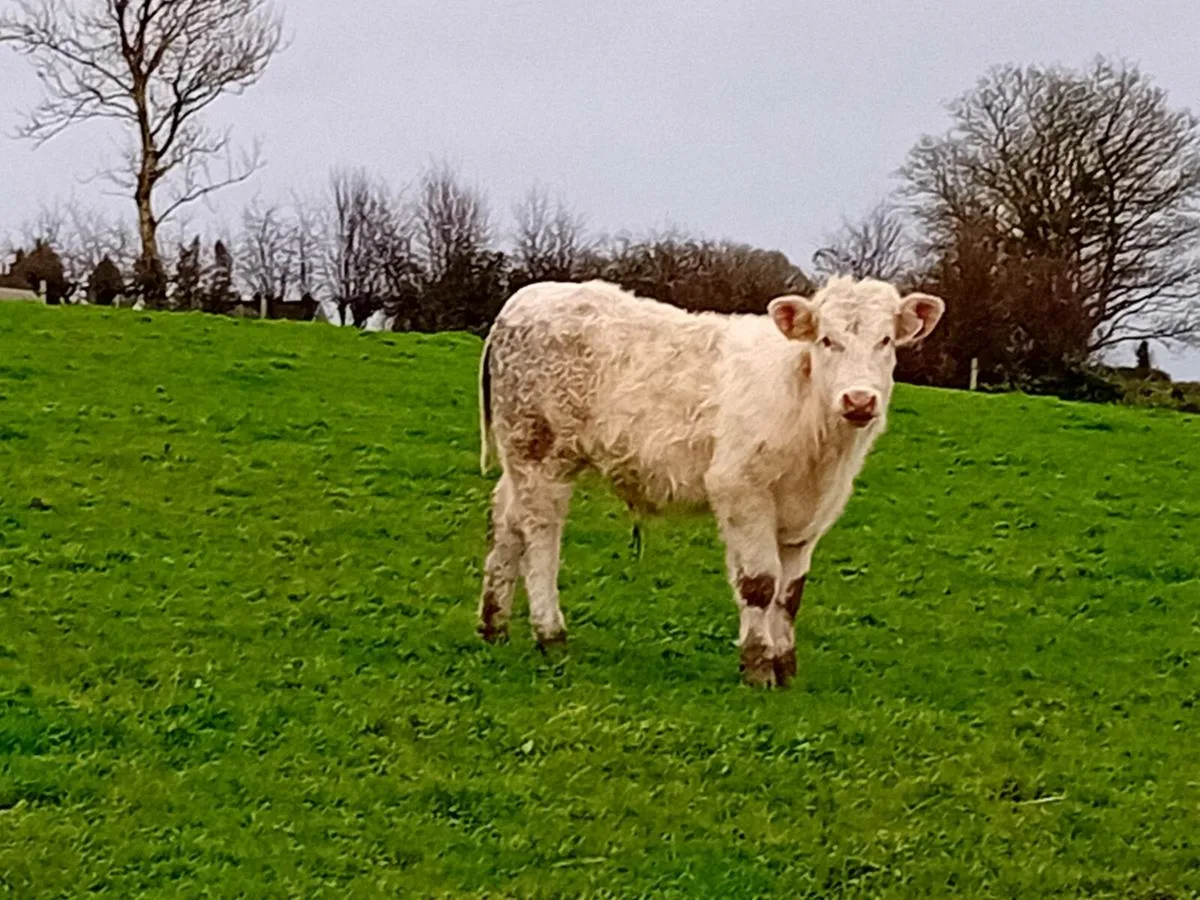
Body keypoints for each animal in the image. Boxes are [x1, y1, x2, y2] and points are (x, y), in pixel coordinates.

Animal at [476, 276, 944, 686]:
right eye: (827, 340)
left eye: (886, 341)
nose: (860, 400)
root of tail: (522, 300)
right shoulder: (741, 489)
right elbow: (760, 584)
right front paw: (757, 667)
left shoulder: (810, 514)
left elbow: (790, 594)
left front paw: (785, 667)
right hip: (542, 453)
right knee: (540, 536)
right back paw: (550, 635)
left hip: (519, 458)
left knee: (507, 522)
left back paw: (493, 626)